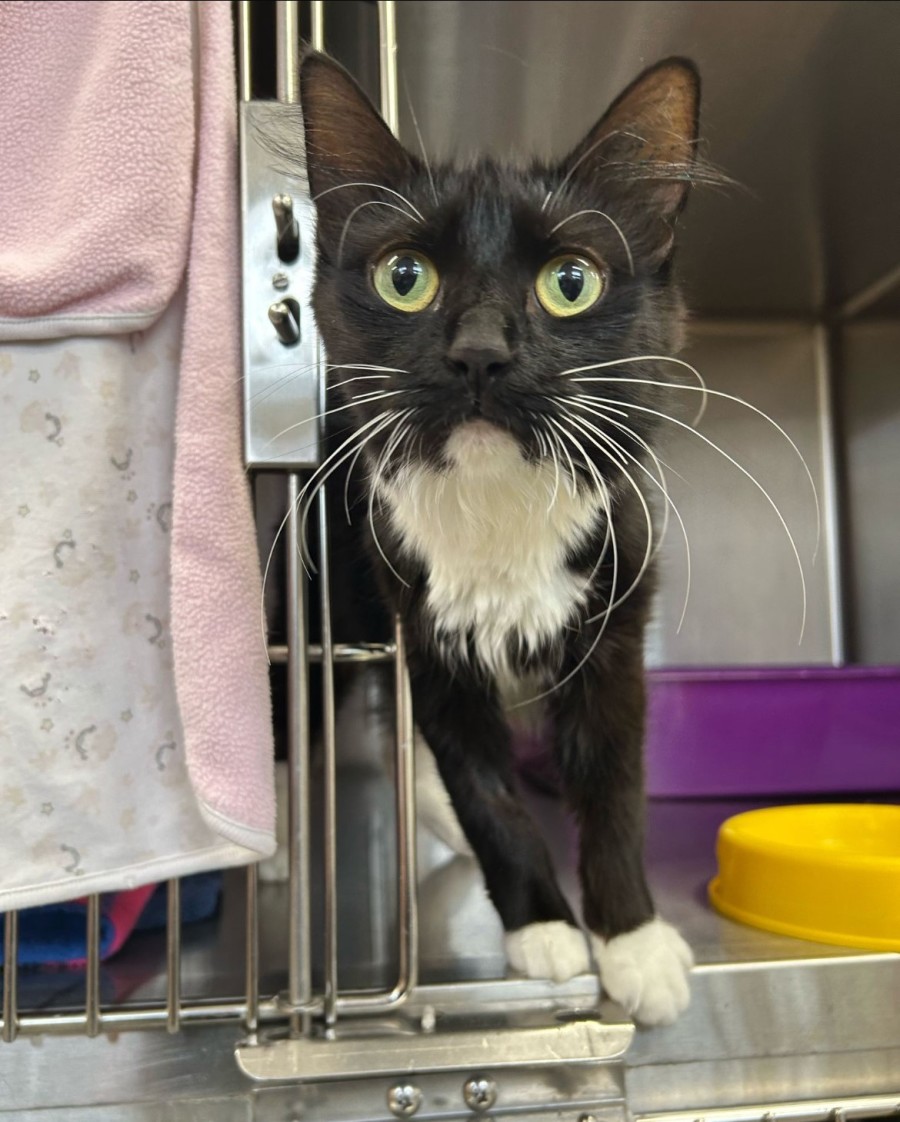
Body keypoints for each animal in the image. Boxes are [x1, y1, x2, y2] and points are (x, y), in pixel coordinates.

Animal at [294, 49, 703, 1026]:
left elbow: (615, 786)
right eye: (405, 277)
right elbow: (485, 792)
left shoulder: (616, 618)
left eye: (571, 282)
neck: (498, 507)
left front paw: (633, 941)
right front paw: (546, 927)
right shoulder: (423, 629)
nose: (479, 349)